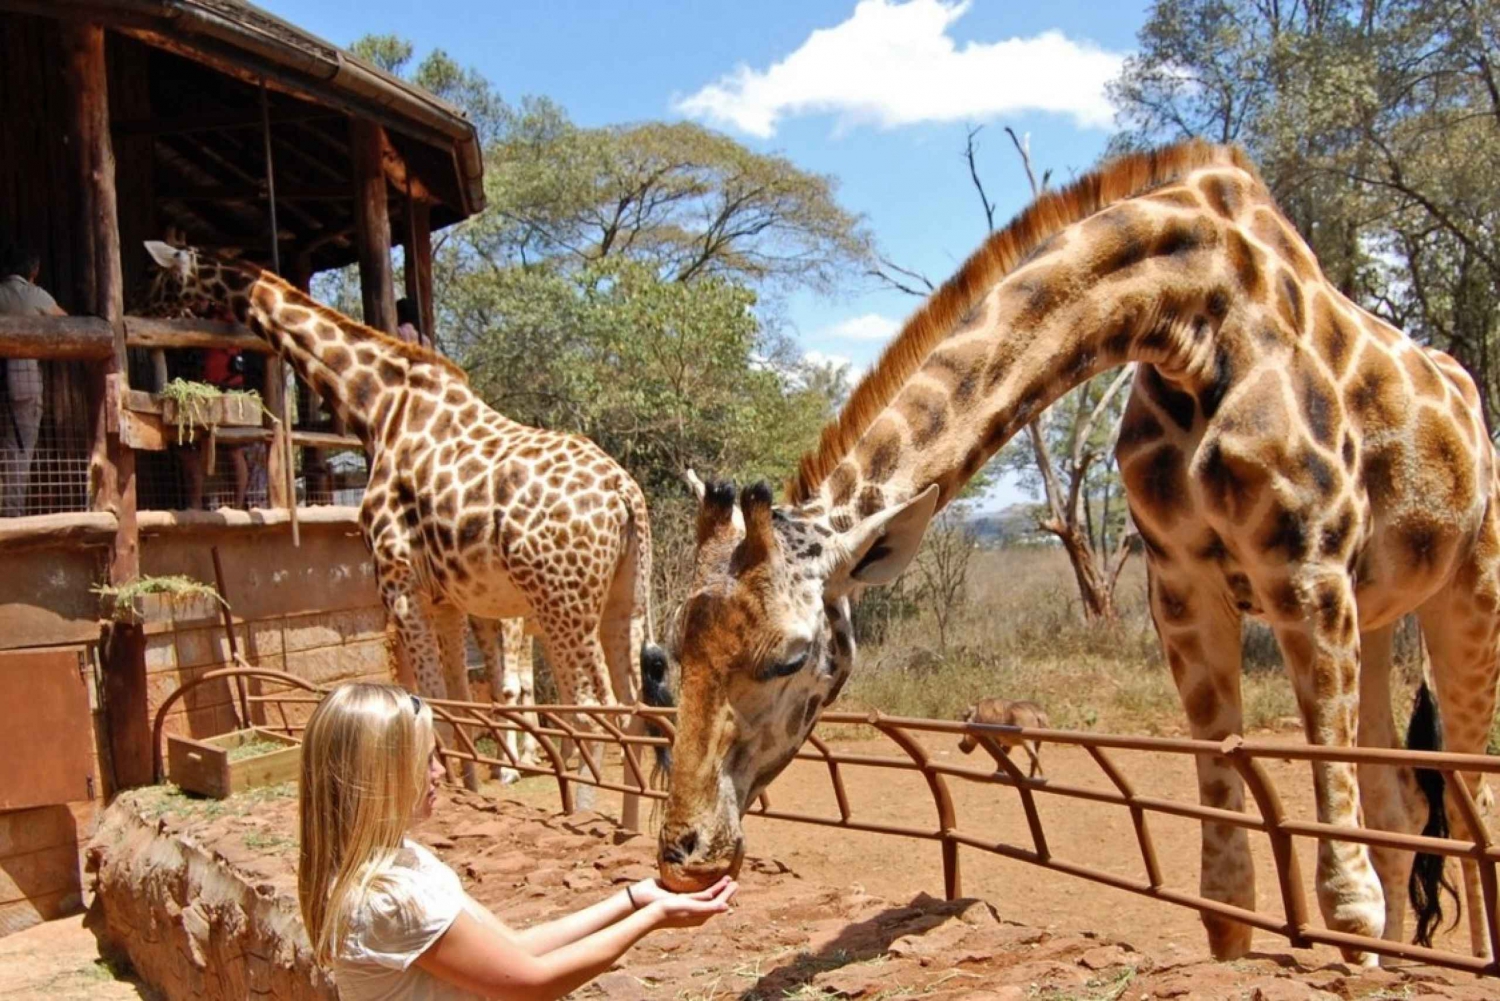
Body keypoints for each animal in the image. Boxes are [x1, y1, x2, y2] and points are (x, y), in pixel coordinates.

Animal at [141, 241, 658, 826]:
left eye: (159, 279)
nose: (145, 314)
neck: (377, 407)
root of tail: (623, 492)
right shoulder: (446, 598)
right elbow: (458, 699)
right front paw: (468, 786)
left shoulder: (396, 582)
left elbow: (432, 701)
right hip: (622, 596)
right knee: (633, 702)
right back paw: (627, 823)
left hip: (560, 600)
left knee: (593, 707)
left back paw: (585, 815)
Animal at [649, 141, 1500, 965]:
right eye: (675, 650)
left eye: (792, 656)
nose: (684, 853)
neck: (1194, 319)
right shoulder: (1182, 590)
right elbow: (1226, 890)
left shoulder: (1307, 572)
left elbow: (1346, 895)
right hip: (1380, 611)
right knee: (1401, 798)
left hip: (1467, 587)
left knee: (1470, 803)